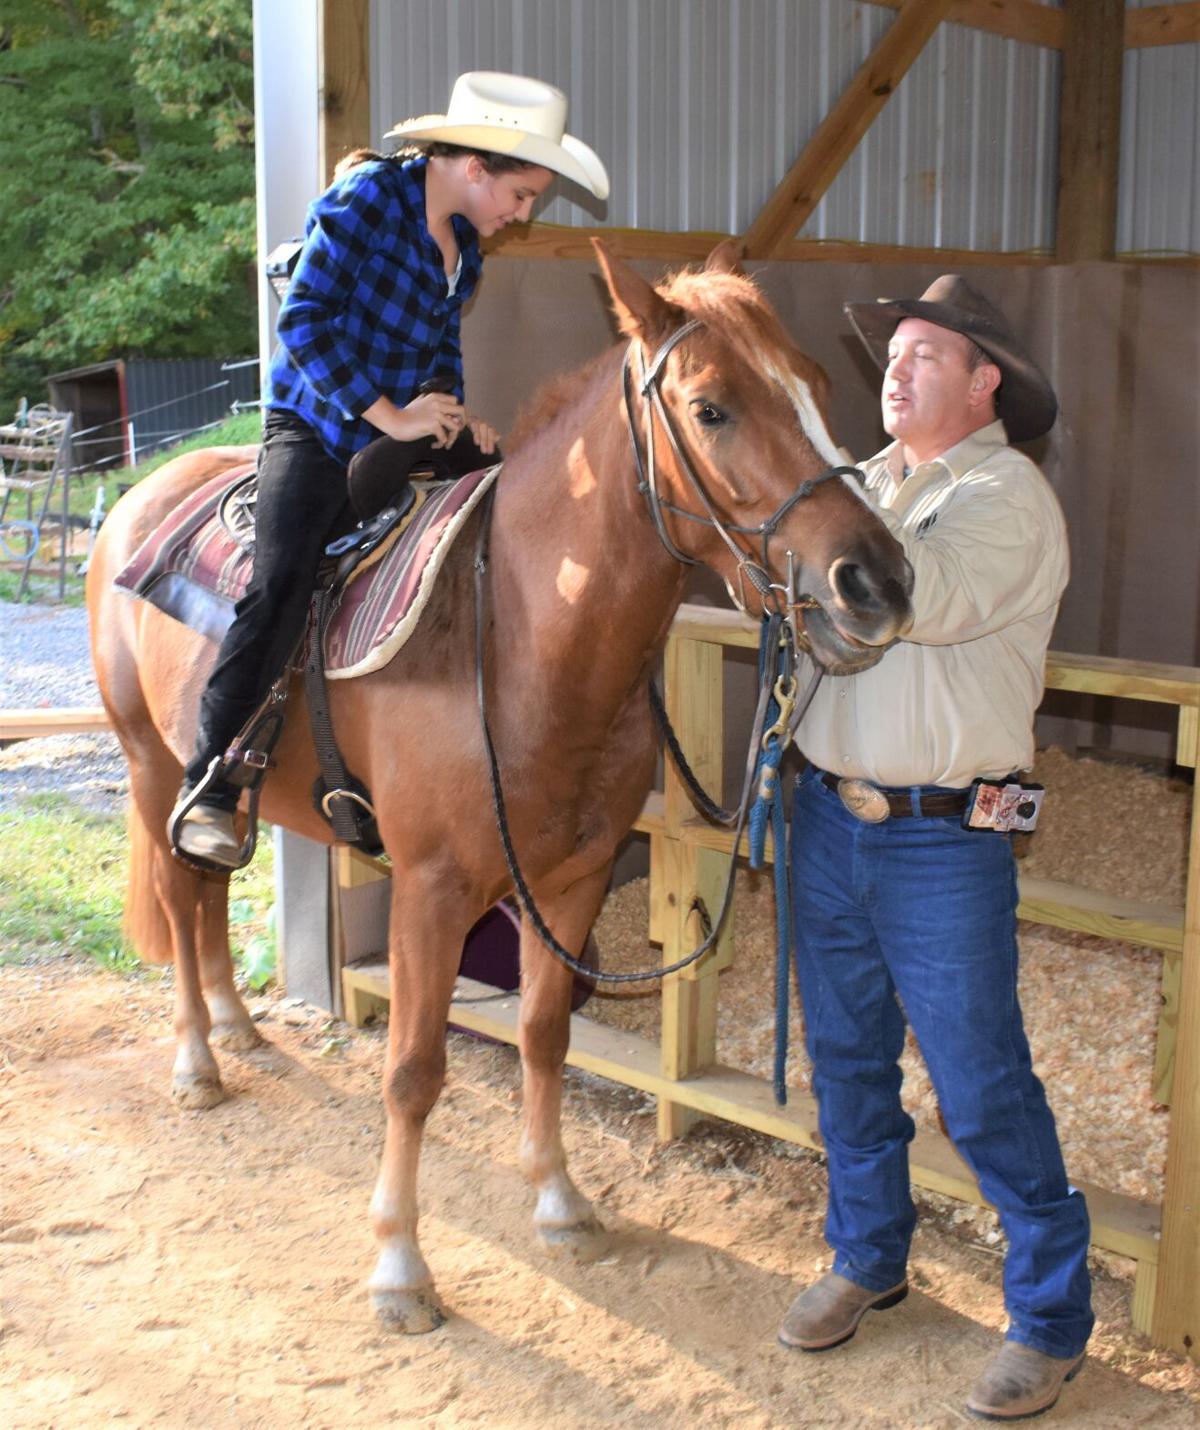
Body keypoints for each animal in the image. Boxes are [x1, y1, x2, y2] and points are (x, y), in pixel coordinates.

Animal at [89, 243, 909, 1327]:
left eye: (816, 384)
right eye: (711, 408)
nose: (879, 583)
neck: (517, 634)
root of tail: (141, 496)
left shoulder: (572, 878)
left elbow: (545, 1032)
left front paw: (559, 1197)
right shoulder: (431, 891)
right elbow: (412, 1069)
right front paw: (400, 1265)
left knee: (212, 883)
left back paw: (236, 1026)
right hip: (150, 766)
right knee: (183, 900)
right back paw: (196, 1059)